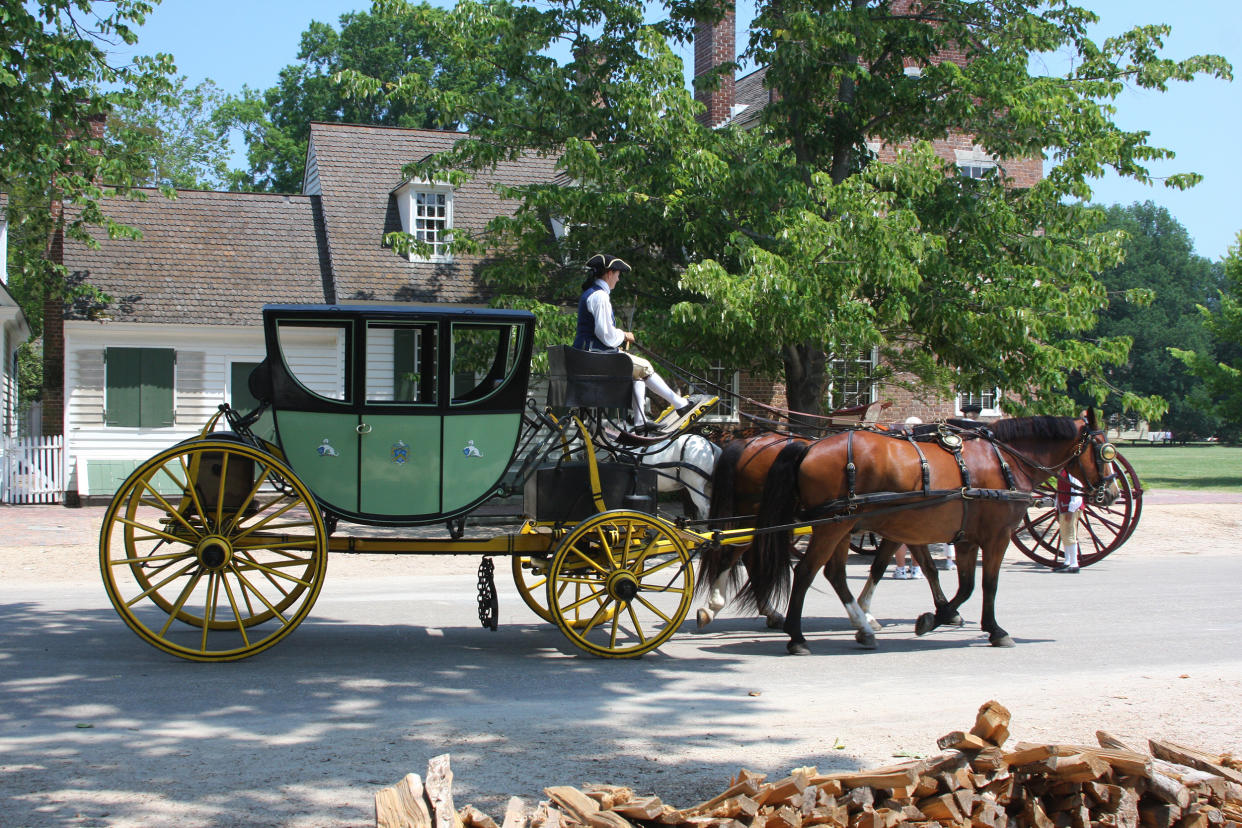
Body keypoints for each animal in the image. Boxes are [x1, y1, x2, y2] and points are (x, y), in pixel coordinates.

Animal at [740, 412, 1122, 655]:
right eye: (1105, 451)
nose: (1113, 492)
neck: (1005, 460)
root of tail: (809, 446)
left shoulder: (964, 538)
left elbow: (962, 584)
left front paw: (935, 618)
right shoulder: (996, 536)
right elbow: (988, 584)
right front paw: (995, 630)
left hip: (841, 524)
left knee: (832, 573)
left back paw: (859, 627)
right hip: (833, 525)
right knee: (806, 572)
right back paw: (797, 636)